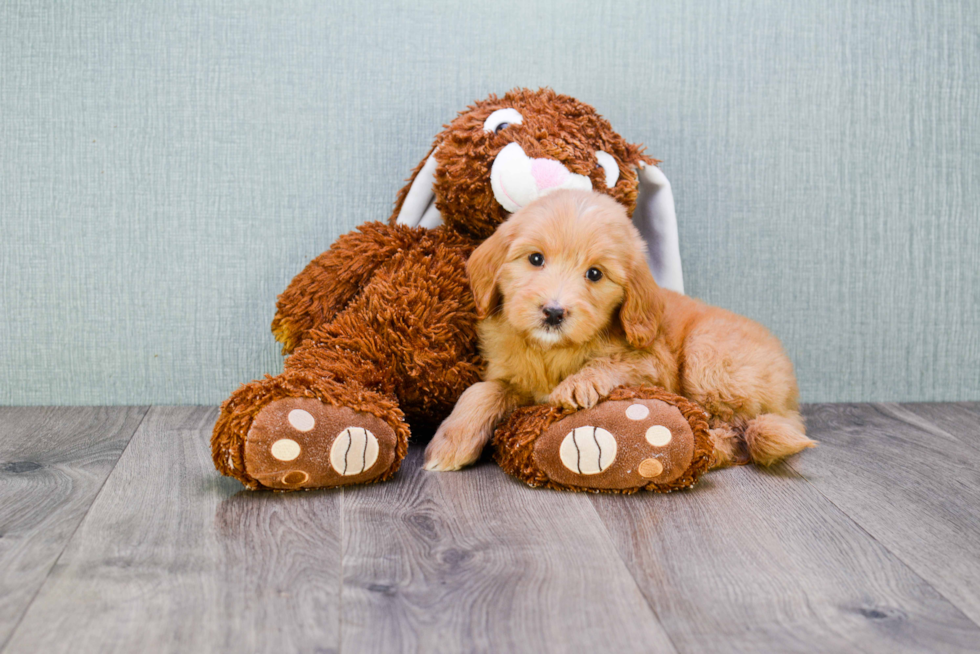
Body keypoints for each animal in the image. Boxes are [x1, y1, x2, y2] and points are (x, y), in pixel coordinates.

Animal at [424, 190, 816, 472]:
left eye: (595, 274)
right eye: (535, 259)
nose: (553, 312)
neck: (552, 352)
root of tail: (792, 400)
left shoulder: (651, 364)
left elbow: (611, 363)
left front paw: (579, 383)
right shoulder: (512, 378)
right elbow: (480, 391)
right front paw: (450, 442)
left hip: (708, 358)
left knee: (733, 431)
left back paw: (704, 449)